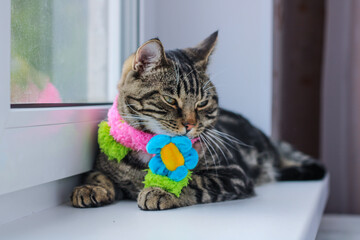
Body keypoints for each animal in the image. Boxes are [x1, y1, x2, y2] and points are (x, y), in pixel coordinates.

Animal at [71, 31, 326, 210]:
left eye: (202, 103)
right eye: (170, 100)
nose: (190, 125)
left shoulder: (233, 173)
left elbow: (195, 181)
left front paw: (161, 191)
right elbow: (97, 174)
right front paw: (89, 187)